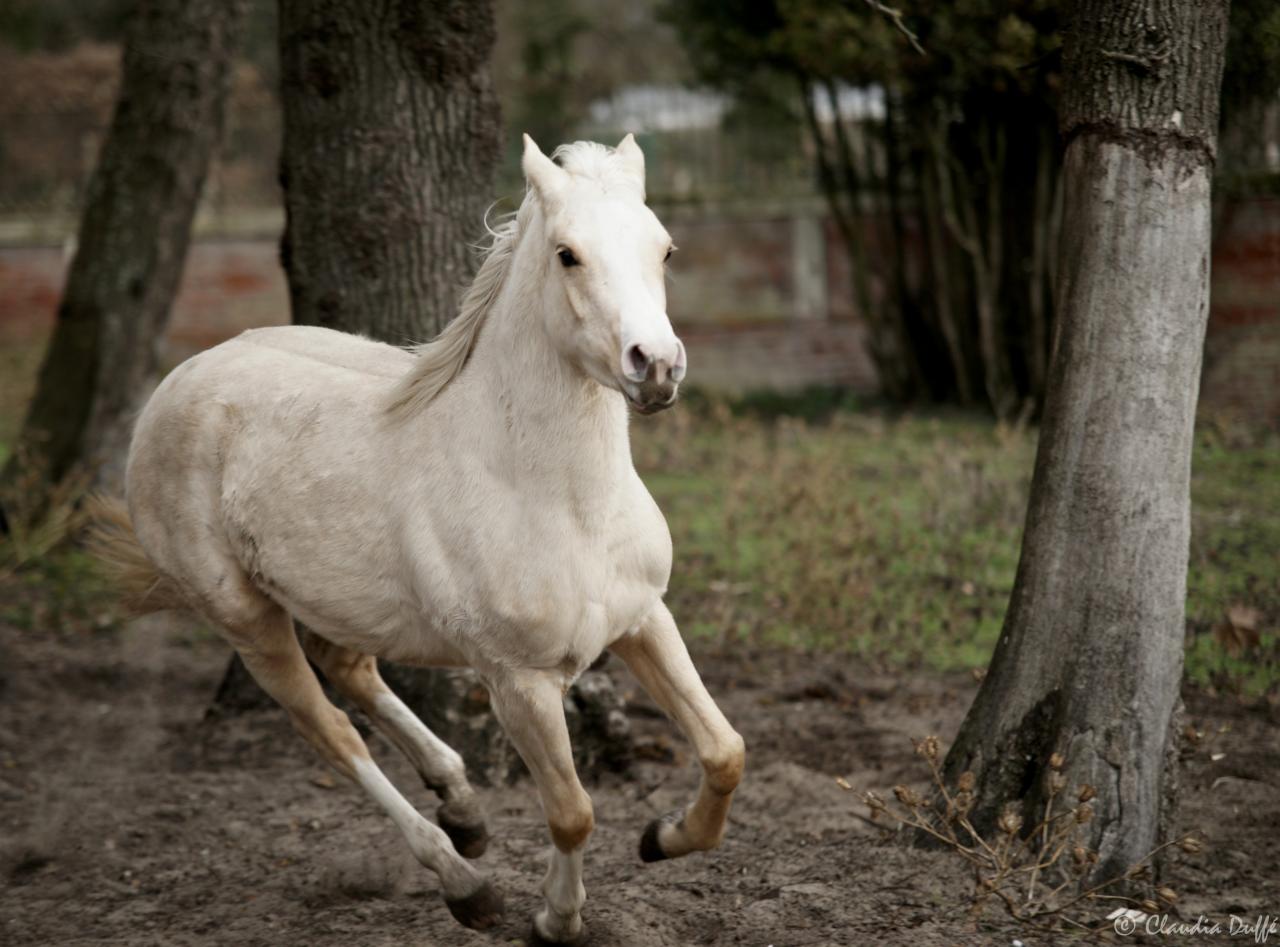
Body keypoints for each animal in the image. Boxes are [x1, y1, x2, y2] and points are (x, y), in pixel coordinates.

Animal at [97, 135, 742, 947]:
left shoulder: (644, 619)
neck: (561, 500)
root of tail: (174, 384)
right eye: (566, 254)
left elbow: (724, 750)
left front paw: (662, 837)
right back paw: (465, 881)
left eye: (664, 248)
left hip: (340, 598)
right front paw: (555, 919)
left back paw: (462, 807)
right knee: (332, 733)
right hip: (245, 618)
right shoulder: (518, 680)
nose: (654, 366)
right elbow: (571, 810)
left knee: (349, 666)